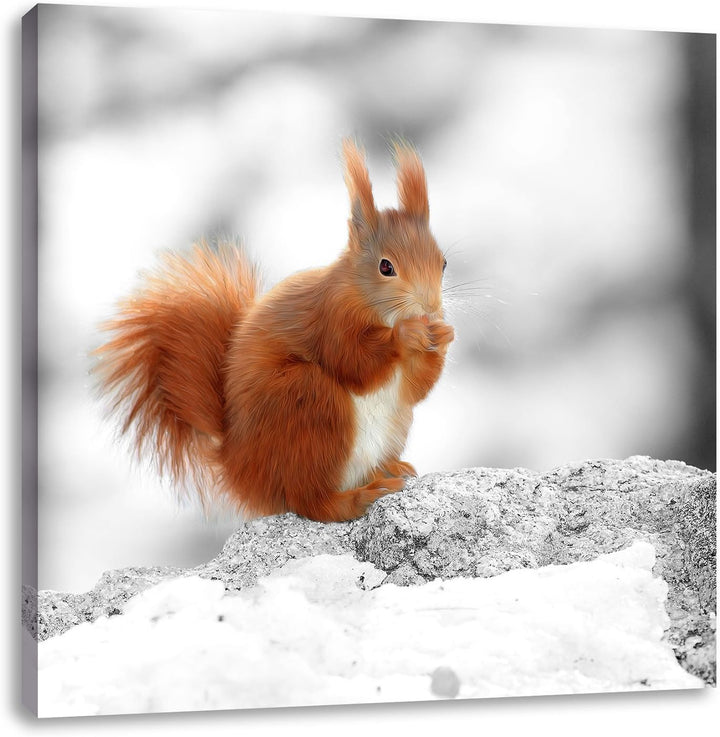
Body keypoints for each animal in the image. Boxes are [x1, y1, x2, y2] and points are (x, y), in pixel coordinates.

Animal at [93, 139, 454, 522]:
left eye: (443, 262)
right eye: (386, 267)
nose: (431, 308)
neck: (372, 305)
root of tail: (239, 469)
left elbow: (414, 389)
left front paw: (444, 336)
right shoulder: (331, 318)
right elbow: (353, 363)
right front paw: (407, 334)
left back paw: (388, 469)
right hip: (306, 403)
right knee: (311, 502)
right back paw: (359, 497)